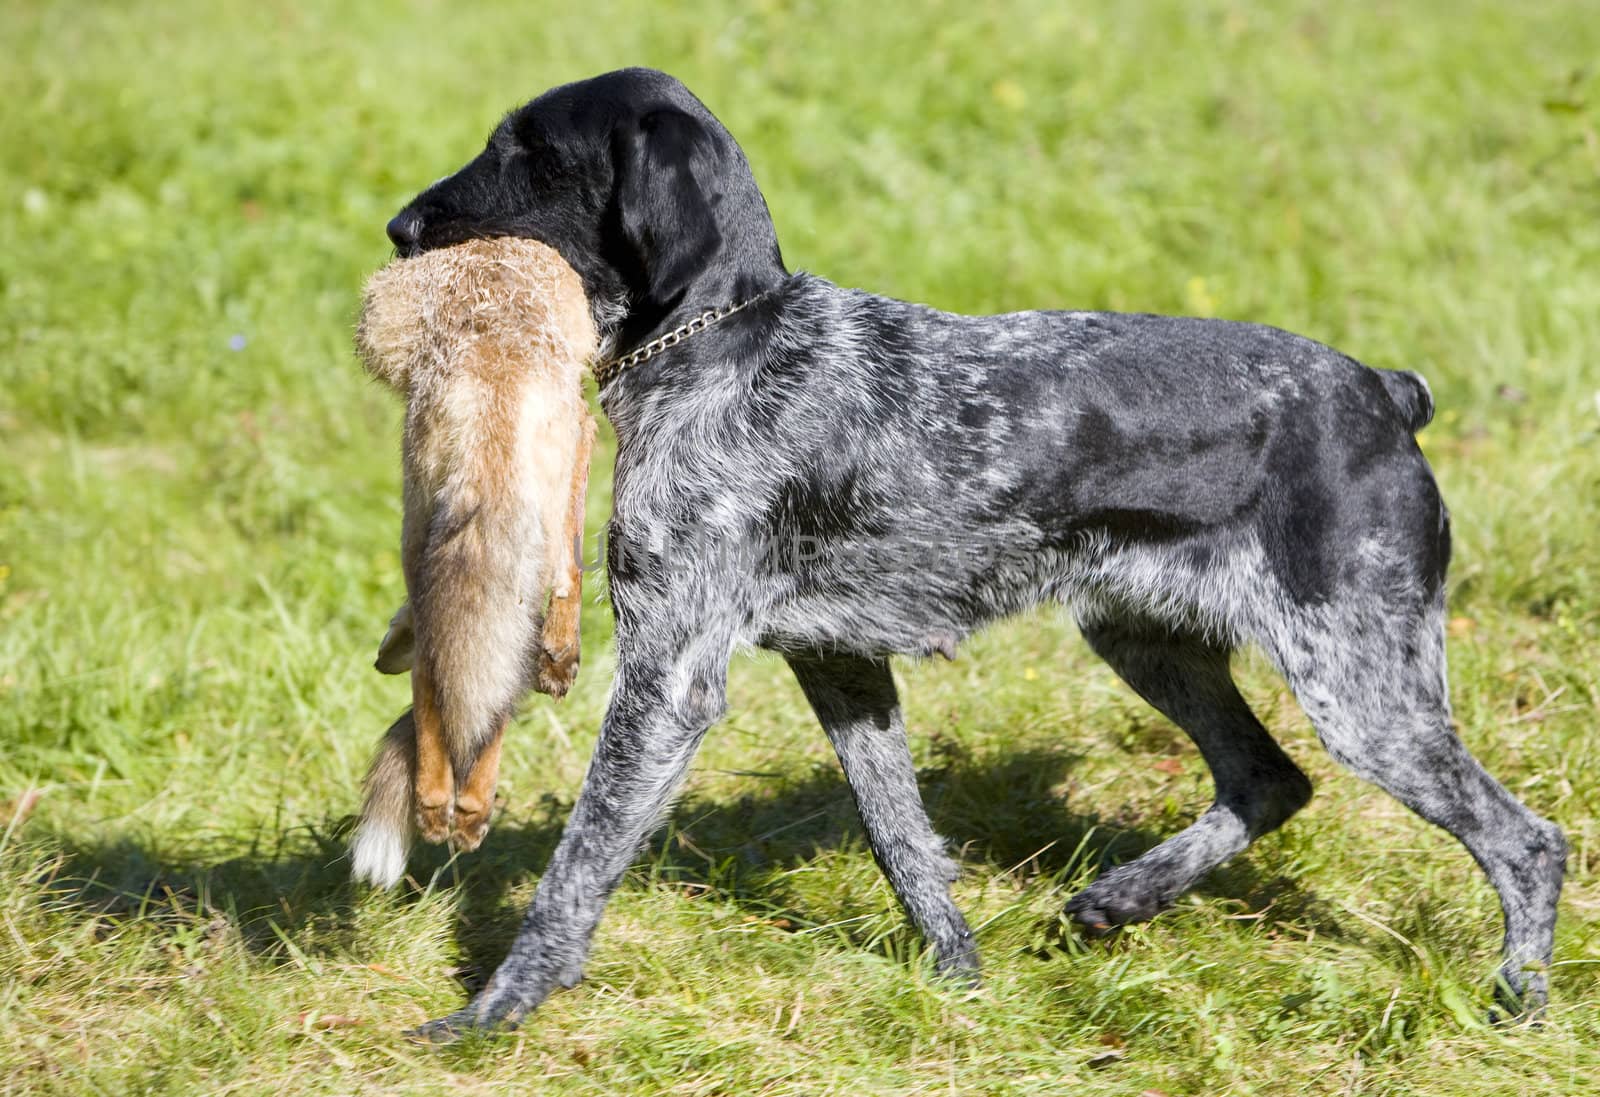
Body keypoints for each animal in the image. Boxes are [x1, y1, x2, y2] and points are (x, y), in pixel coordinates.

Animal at [377, 64, 1561, 1042]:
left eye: (530, 151)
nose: (397, 225)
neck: (728, 340)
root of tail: (1383, 392)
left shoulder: (670, 677)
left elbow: (576, 867)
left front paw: (493, 1011)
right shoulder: (842, 667)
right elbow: (904, 840)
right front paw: (959, 978)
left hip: (1363, 687)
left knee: (1524, 840)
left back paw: (1518, 997)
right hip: (1147, 637)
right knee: (1267, 779)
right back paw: (1117, 899)